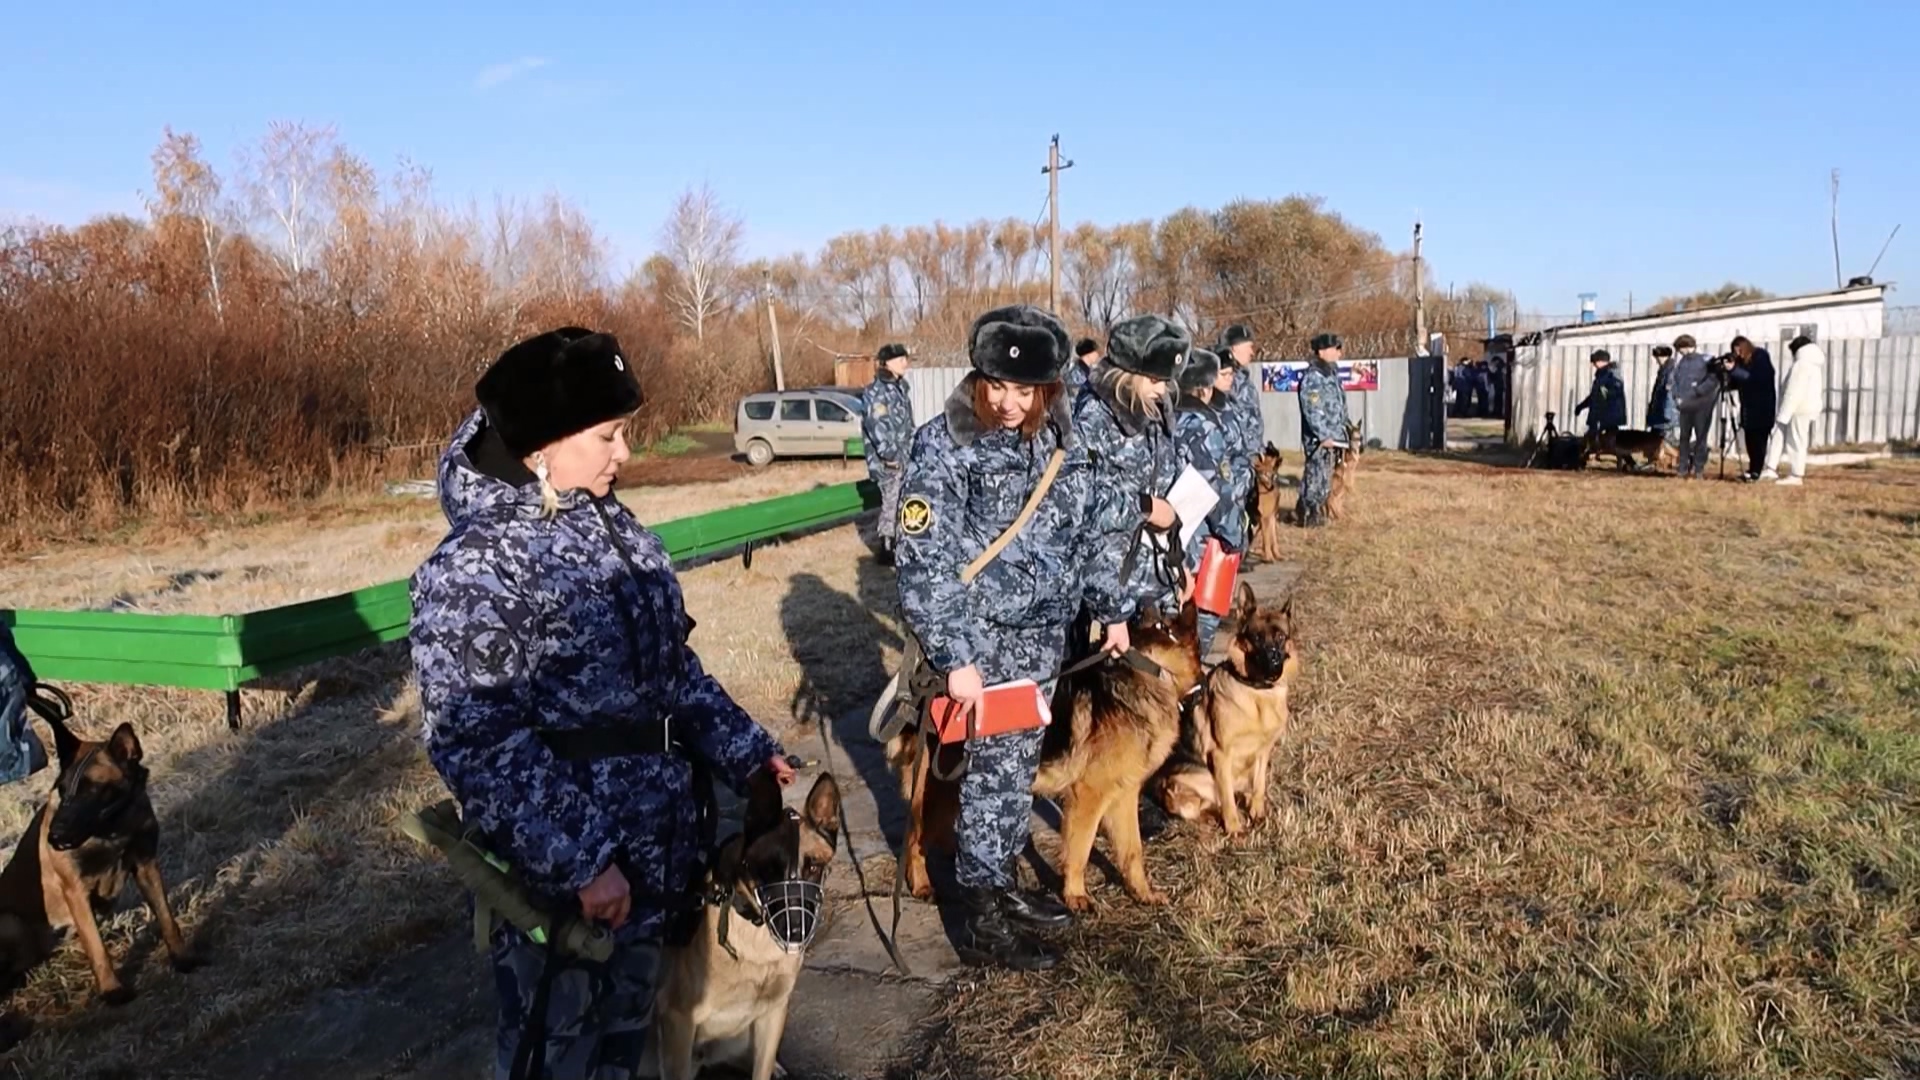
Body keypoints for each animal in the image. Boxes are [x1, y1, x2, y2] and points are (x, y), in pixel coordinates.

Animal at [0, 703, 198, 1006]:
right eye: (62, 789)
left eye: (93, 789)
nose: (54, 838)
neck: (112, 829)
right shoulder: (75, 890)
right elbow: (97, 947)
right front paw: (112, 990)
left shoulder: (146, 865)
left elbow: (166, 918)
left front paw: (182, 957)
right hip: (11, 922)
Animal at [645, 764, 840, 1076]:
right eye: (769, 869)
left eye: (813, 867)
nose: (795, 931)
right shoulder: (678, 1021)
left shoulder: (773, 1013)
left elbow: (762, 1068)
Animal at [883, 599, 1198, 903]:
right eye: (1157, 625)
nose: (1141, 609)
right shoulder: (1088, 796)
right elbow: (1080, 850)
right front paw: (1075, 895)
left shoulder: (1124, 796)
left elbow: (1133, 851)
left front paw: (1143, 893)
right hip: (937, 792)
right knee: (914, 840)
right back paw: (921, 884)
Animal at [1144, 584, 1297, 837]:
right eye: (1256, 637)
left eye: (1281, 637)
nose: (1274, 664)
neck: (1256, 693)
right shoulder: (1221, 755)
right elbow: (1227, 799)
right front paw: (1234, 828)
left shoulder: (1263, 752)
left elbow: (1259, 786)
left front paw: (1257, 813)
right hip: (1187, 782)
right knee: (1200, 806)